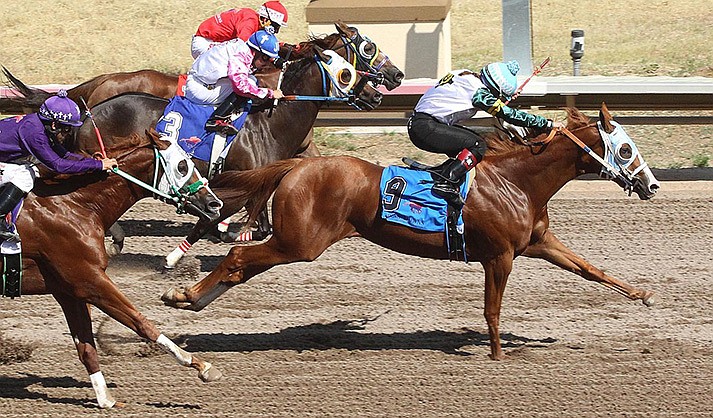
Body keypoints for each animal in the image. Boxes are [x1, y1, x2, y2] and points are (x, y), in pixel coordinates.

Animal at [7, 129, 225, 406]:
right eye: (183, 166)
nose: (214, 204)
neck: (75, 206)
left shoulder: (69, 291)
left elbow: (86, 346)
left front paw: (105, 399)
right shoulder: (90, 280)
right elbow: (141, 323)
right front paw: (201, 365)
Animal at [163, 103, 660, 360]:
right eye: (625, 148)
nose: (651, 185)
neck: (517, 181)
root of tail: (296, 166)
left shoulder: (537, 243)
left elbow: (590, 270)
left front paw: (644, 295)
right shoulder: (499, 256)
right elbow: (492, 310)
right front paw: (498, 354)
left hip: (295, 241)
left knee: (239, 268)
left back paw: (190, 298)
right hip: (300, 242)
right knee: (237, 259)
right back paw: (181, 295)